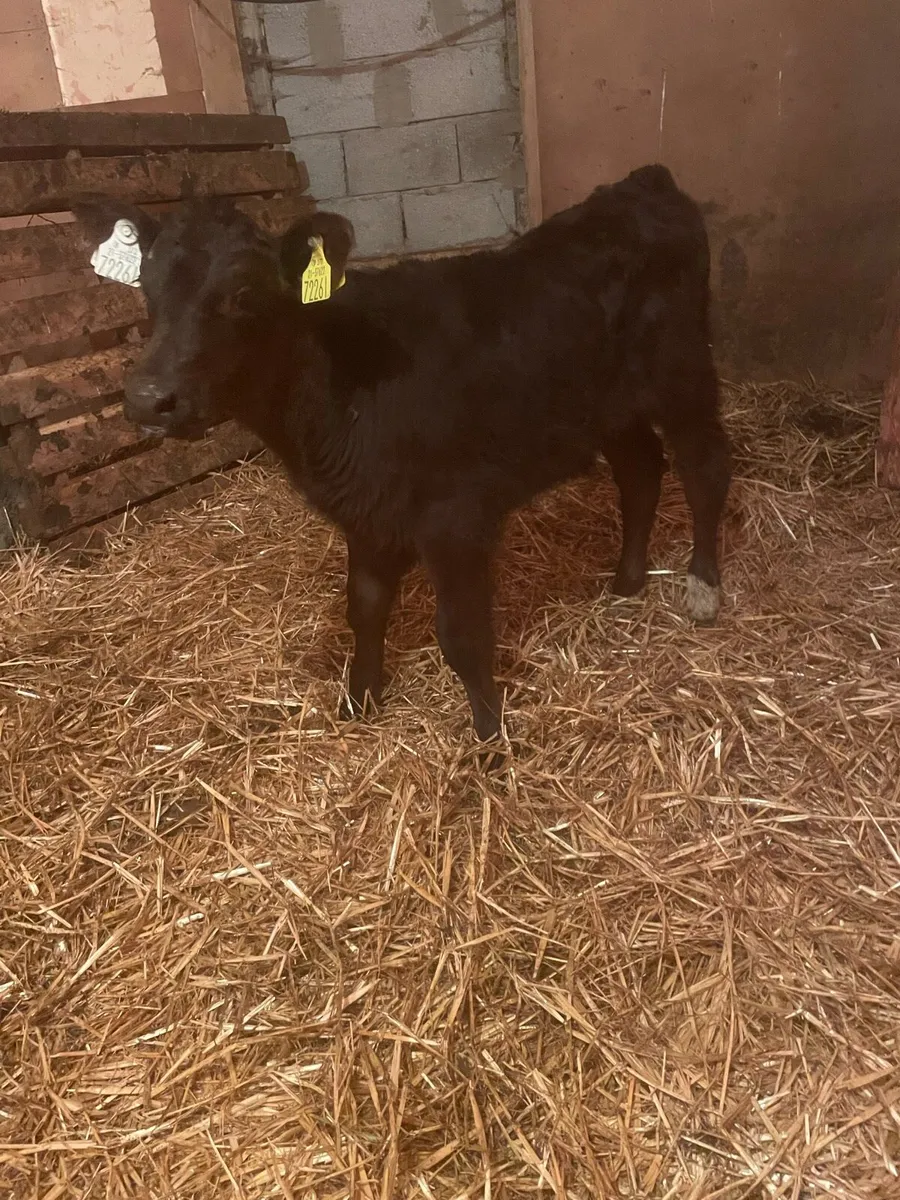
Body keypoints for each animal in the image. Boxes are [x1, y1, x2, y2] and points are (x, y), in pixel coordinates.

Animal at [73, 164, 731, 755]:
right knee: (641, 471)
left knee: (704, 467)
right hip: (610, 407)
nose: (149, 398)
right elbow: (363, 609)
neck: (338, 390)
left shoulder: (454, 518)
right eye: (148, 291)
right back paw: (626, 581)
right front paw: (360, 701)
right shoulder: (366, 515)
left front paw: (490, 740)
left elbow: (460, 635)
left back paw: (703, 587)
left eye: (241, 295)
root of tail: (641, 182)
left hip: (683, 372)